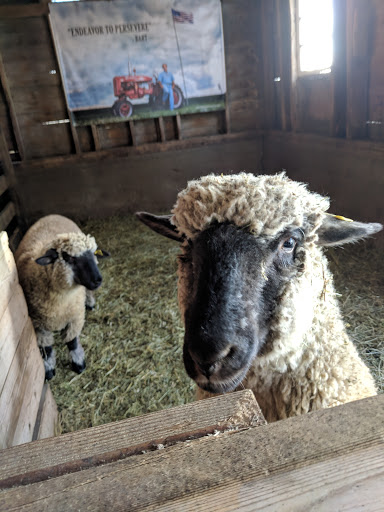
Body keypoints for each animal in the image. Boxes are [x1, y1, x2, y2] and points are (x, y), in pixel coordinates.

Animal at [15, 214, 108, 378]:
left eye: (94, 254)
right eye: (69, 257)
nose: (98, 280)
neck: (61, 301)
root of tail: (52, 215)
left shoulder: (75, 317)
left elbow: (72, 342)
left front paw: (78, 363)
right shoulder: (38, 325)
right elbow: (46, 349)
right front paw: (49, 369)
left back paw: (90, 303)